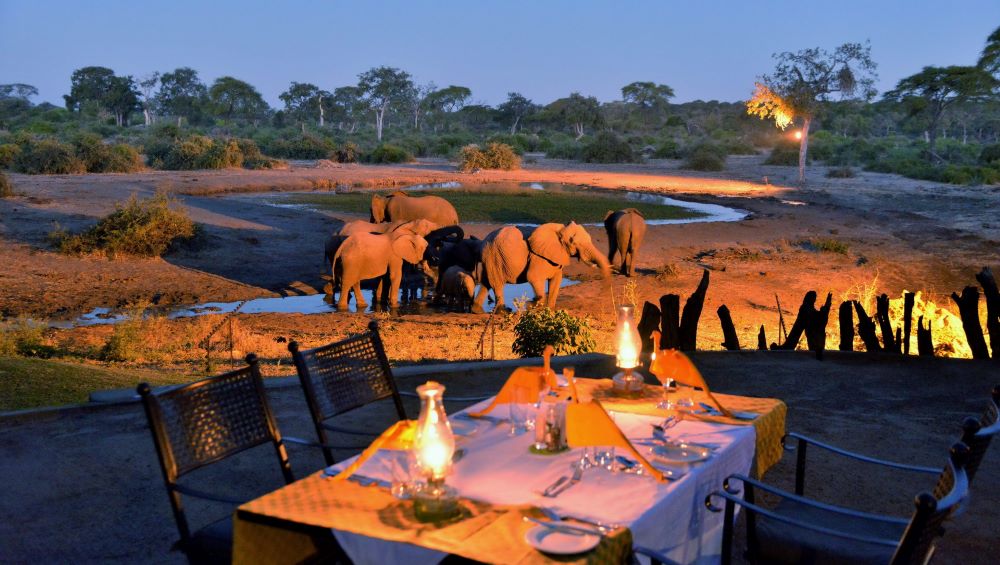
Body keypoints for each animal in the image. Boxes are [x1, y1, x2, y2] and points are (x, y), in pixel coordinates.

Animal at [472, 222, 611, 314]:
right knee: (497, 284)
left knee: (486, 283)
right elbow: (533, 277)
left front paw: (550, 309)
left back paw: (476, 310)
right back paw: (504, 311)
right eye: (574, 242)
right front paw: (535, 306)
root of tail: (482, 243)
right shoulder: (537, 256)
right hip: (494, 256)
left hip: (491, 259)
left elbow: (556, 280)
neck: (559, 230)